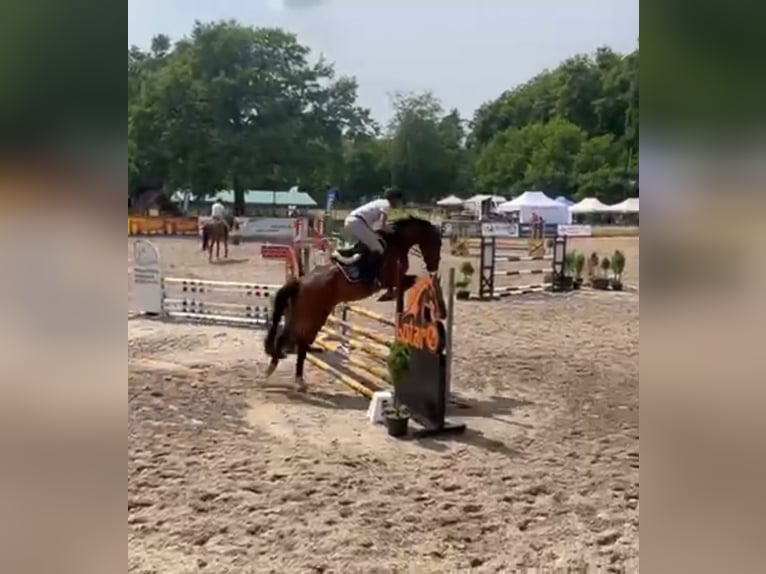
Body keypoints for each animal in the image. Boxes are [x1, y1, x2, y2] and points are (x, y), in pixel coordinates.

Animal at [264, 217, 444, 392]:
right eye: (436, 243)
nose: (433, 267)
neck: (397, 243)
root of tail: (300, 282)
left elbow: (412, 281)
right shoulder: (392, 278)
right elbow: (413, 280)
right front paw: (392, 296)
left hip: (311, 316)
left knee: (298, 341)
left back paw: (295, 378)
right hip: (308, 316)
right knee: (290, 339)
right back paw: (273, 371)